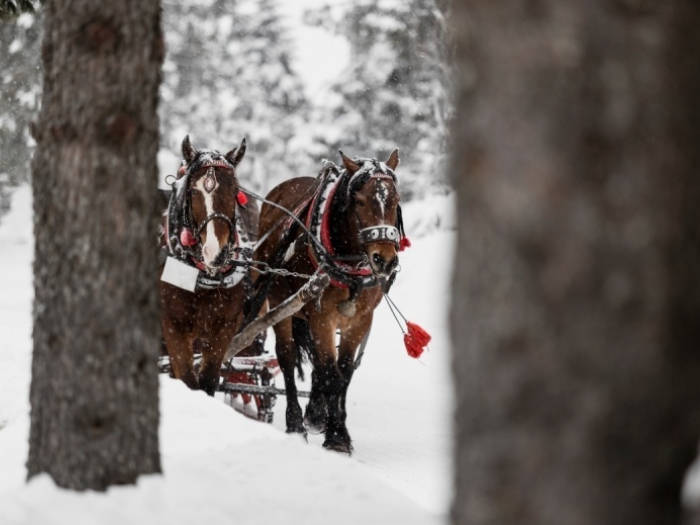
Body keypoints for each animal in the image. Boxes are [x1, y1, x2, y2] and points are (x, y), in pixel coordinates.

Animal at [159, 135, 258, 392]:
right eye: (193, 192)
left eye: (235, 190)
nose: (216, 252)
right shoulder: (173, 327)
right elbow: (188, 380)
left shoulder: (224, 328)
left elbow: (208, 380)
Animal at [254, 147, 402, 450]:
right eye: (359, 201)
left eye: (395, 200)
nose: (384, 259)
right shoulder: (321, 317)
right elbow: (330, 373)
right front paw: (336, 436)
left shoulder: (360, 319)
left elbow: (343, 372)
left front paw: (335, 426)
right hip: (280, 302)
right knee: (287, 357)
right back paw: (295, 422)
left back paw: (315, 413)